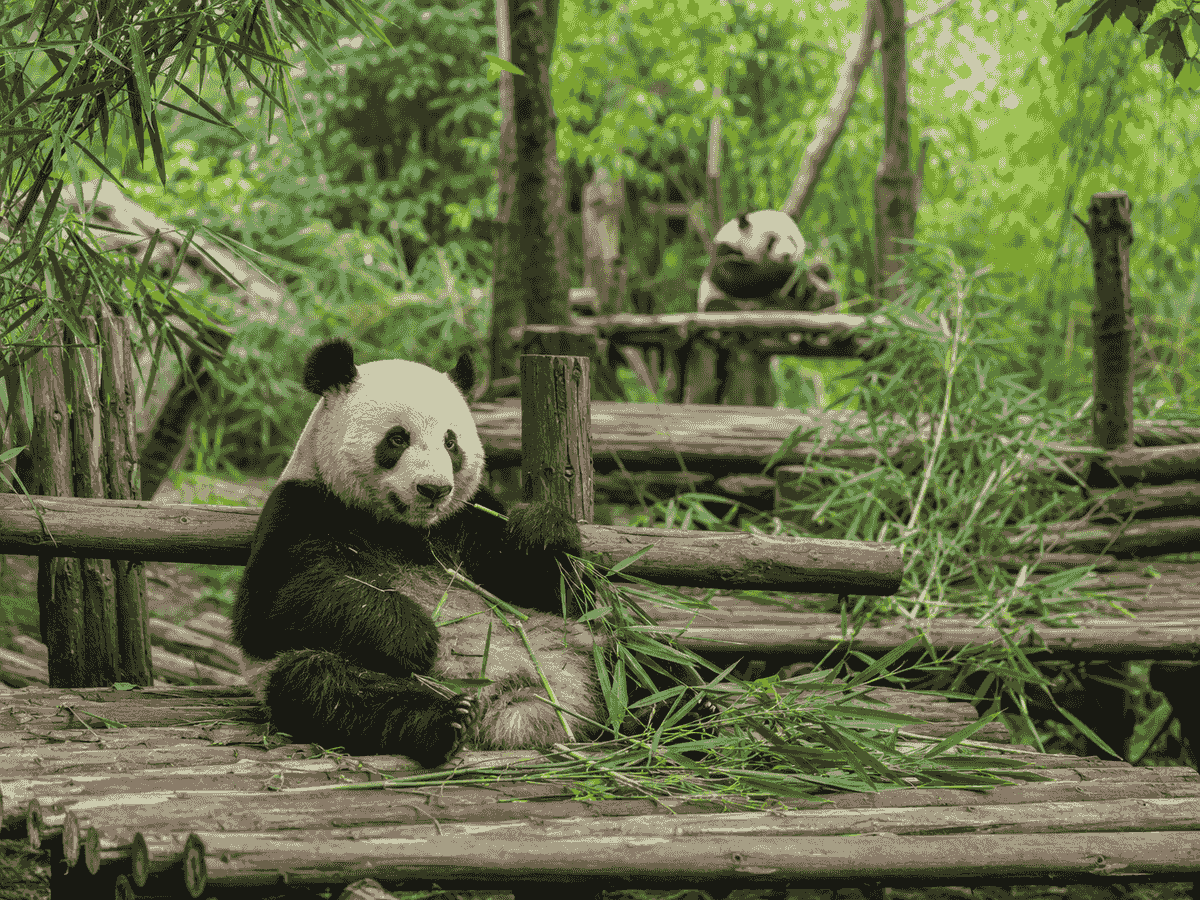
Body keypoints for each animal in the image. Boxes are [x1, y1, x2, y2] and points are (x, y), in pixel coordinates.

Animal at [231, 338, 606, 768]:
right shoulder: (301, 509)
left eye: (451, 442)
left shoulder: (468, 521)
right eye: (397, 439)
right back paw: (446, 720)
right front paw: (414, 634)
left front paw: (542, 529)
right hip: (329, 673)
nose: (434, 489)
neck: (404, 528)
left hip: (580, 646)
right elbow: (273, 606)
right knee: (327, 685)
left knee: (633, 655)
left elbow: (548, 591)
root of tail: (513, 707)